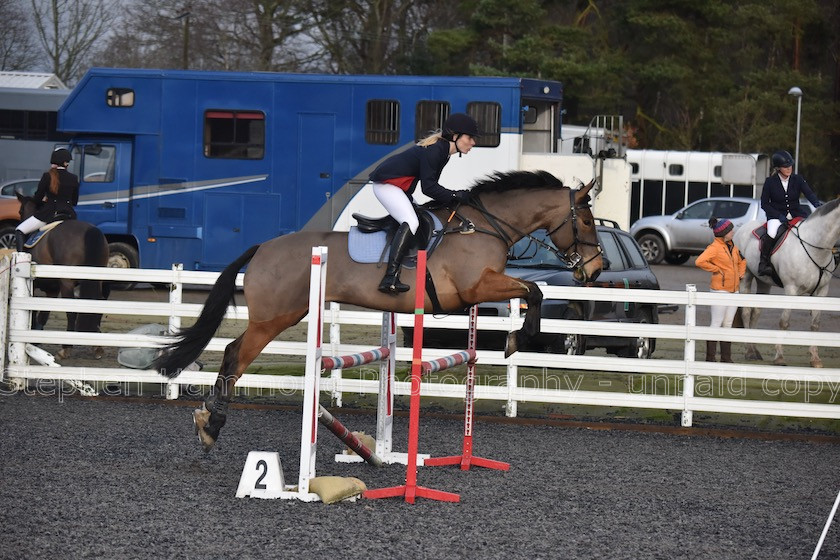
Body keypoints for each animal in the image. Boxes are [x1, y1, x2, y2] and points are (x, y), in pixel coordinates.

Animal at [16, 192, 110, 358]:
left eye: (20, 211)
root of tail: (89, 231)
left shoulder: (39, 286)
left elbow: (34, 310)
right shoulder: (52, 289)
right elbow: (43, 314)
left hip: (67, 282)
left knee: (71, 311)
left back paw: (66, 348)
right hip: (96, 280)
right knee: (97, 308)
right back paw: (97, 346)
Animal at [156, 170, 604, 450]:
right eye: (586, 220)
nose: (596, 269)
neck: (484, 225)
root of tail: (262, 247)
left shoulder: (480, 290)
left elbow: (532, 290)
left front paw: (514, 338)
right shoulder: (475, 287)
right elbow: (534, 290)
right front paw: (516, 339)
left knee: (233, 353)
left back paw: (209, 422)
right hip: (274, 318)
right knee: (236, 354)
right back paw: (212, 427)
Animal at [736, 197, 840, 368]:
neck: (815, 246)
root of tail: (742, 228)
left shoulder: (821, 291)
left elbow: (815, 324)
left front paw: (815, 358)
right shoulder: (791, 289)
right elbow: (784, 322)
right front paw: (779, 357)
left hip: (764, 282)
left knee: (756, 311)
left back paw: (755, 350)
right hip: (746, 277)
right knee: (746, 311)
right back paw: (749, 351)